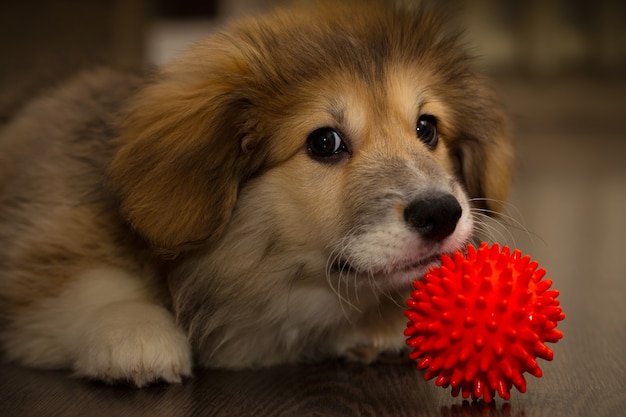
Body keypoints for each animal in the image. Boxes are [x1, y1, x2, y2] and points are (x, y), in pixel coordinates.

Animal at [0, 0, 510, 386]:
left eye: (427, 128)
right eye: (324, 142)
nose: (442, 214)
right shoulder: (44, 240)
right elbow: (86, 282)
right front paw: (134, 334)